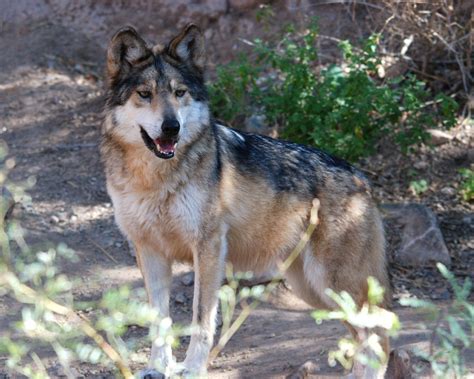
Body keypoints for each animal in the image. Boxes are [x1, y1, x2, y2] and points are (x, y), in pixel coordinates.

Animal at [100, 24, 388, 379]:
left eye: (179, 93)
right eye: (144, 94)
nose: (171, 127)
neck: (154, 179)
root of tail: (361, 178)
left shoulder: (208, 249)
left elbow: (201, 320)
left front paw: (192, 369)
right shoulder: (149, 251)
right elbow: (159, 321)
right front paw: (156, 368)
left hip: (333, 284)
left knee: (380, 337)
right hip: (315, 291)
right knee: (364, 341)